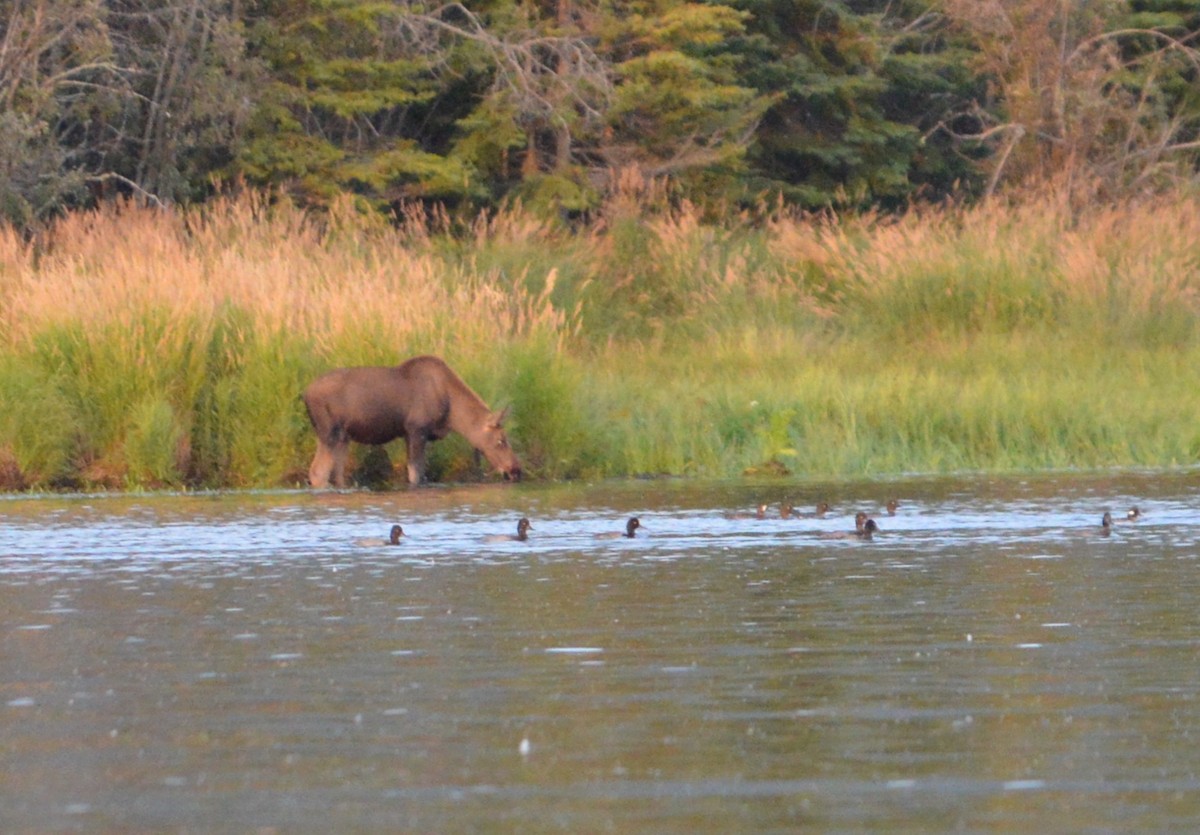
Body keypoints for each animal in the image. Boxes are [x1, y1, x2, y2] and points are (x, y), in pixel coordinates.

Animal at [300, 352, 520, 489]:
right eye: (501, 440)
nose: (516, 470)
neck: (452, 413)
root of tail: (305, 394)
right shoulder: (416, 429)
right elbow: (415, 475)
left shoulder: (410, 434)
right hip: (328, 432)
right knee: (317, 472)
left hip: (343, 437)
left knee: (336, 474)